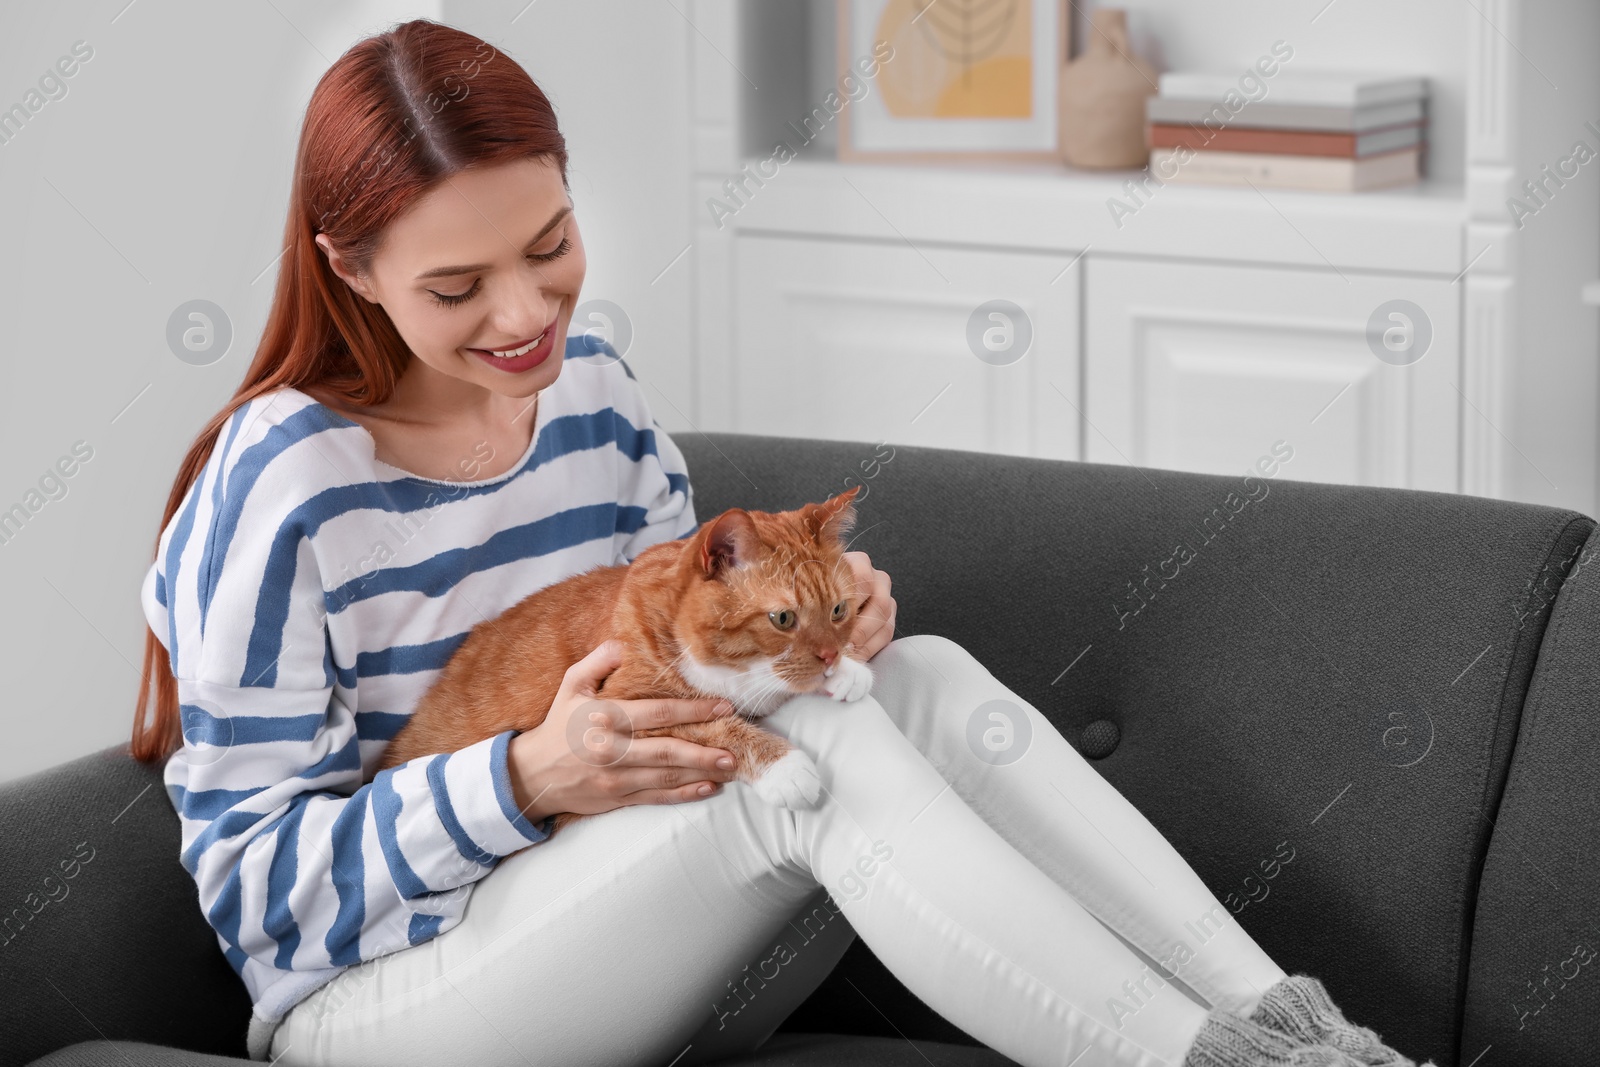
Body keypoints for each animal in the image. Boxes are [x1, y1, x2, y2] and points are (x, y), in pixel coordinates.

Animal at [374, 486, 876, 831]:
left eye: (838, 611)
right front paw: (783, 766)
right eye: (783, 618)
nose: (829, 656)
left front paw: (848, 670)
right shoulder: (623, 711)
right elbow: (715, 724)